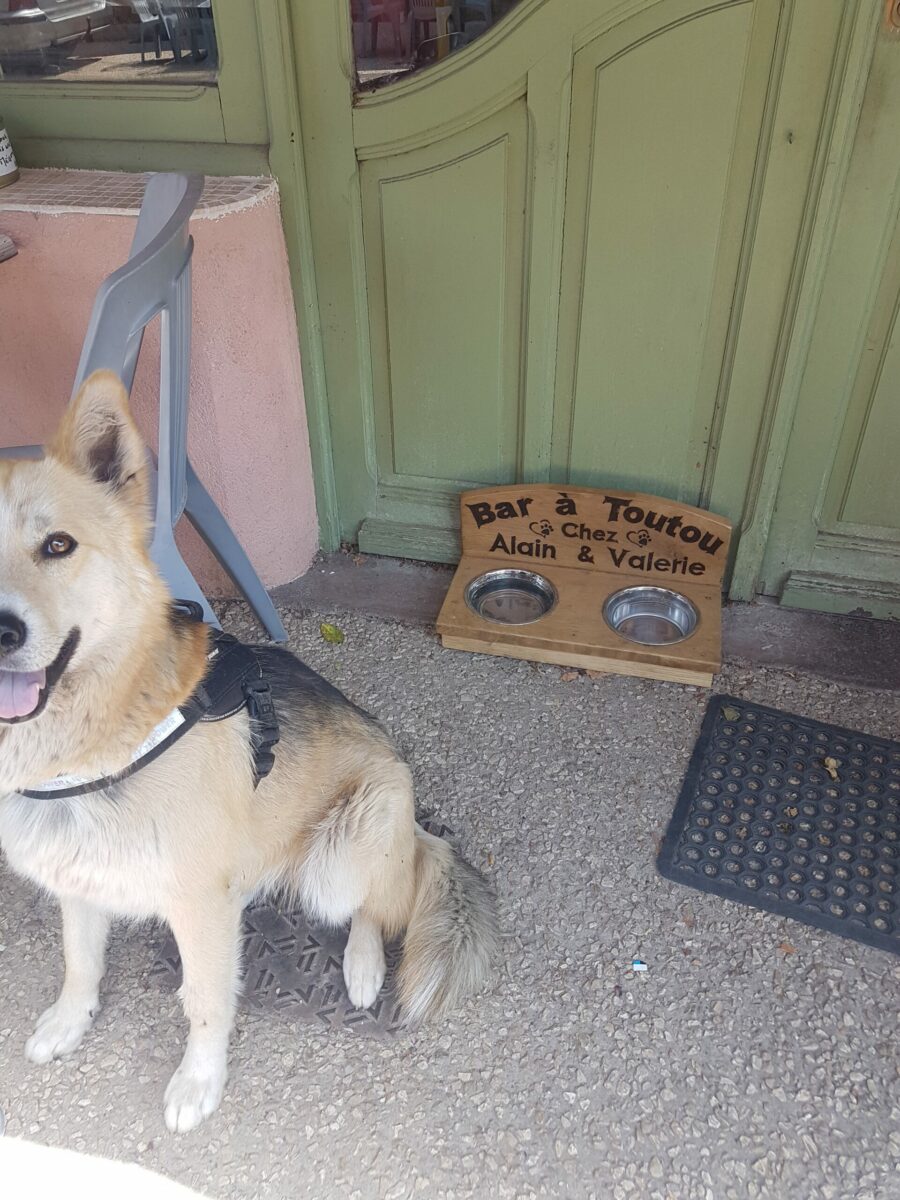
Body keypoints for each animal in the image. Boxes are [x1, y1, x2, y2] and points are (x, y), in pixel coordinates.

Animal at [0, 369, 501, 1128]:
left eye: (57, 546)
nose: (0, 631)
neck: (94, 746)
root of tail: (413, 813)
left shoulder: (198, 907)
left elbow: (205, 1002)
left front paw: (198, 1082)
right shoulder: (78, 881)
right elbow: (80, 961)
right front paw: (69, 1020)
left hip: (349, 844)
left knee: (384, 899)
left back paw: (363, 967)